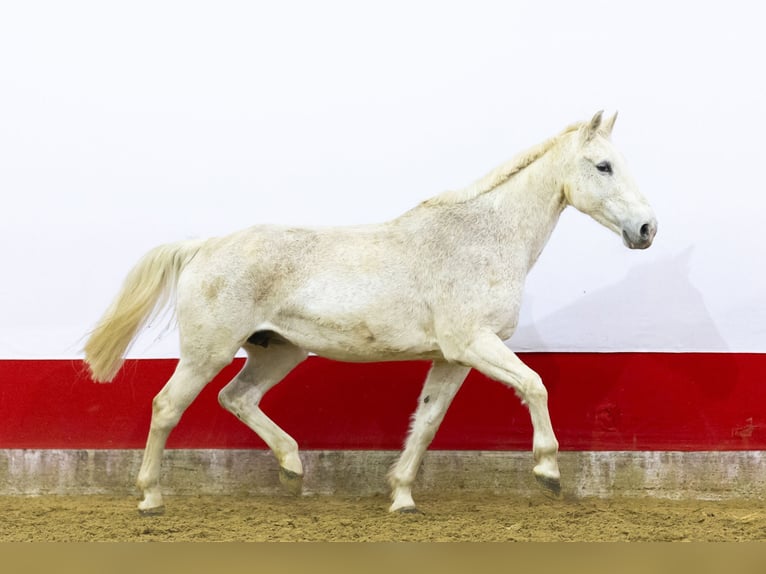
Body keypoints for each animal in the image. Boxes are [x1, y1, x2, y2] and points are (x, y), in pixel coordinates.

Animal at [83, 110, 657, 515]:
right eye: (603, 166)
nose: (647, 229)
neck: (482, 238)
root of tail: (204, 246)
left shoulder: (453, 357)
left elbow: (427, 422)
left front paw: (401, 498)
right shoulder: (476, 342)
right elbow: (534, 385)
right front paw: (548, 473)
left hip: (277, 351)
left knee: (237, 398)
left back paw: (293, 468)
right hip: (208, 351)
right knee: (166, 407)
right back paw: (151, 499)